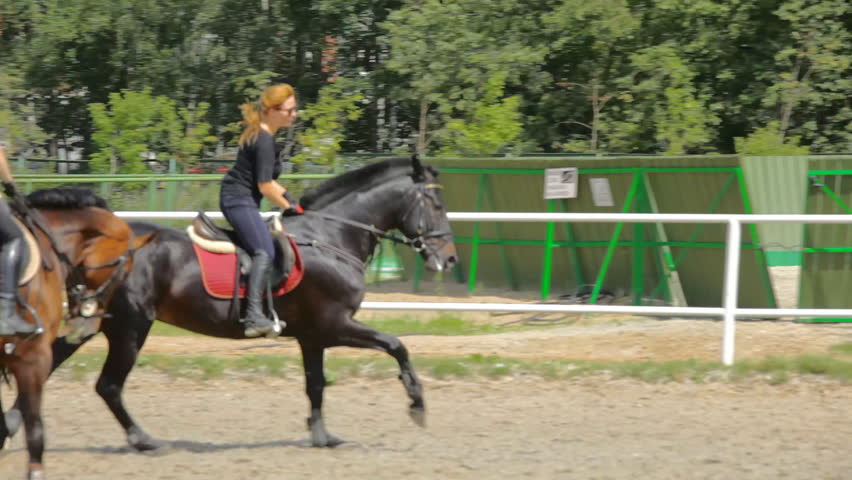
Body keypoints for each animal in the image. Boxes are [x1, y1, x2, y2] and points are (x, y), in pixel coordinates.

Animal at [4, 155, 457, 451]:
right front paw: (417, 404)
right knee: (108, 385)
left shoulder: (312, 336)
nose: (450, 259)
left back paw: (9, 425)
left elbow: (315, 384)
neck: (331, 237)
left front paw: (321, 435)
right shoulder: (335, 324)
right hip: (131, 327)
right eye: (436, 204)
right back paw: (143, 439)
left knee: (54, 360)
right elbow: (397, 345)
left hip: (100, 321)